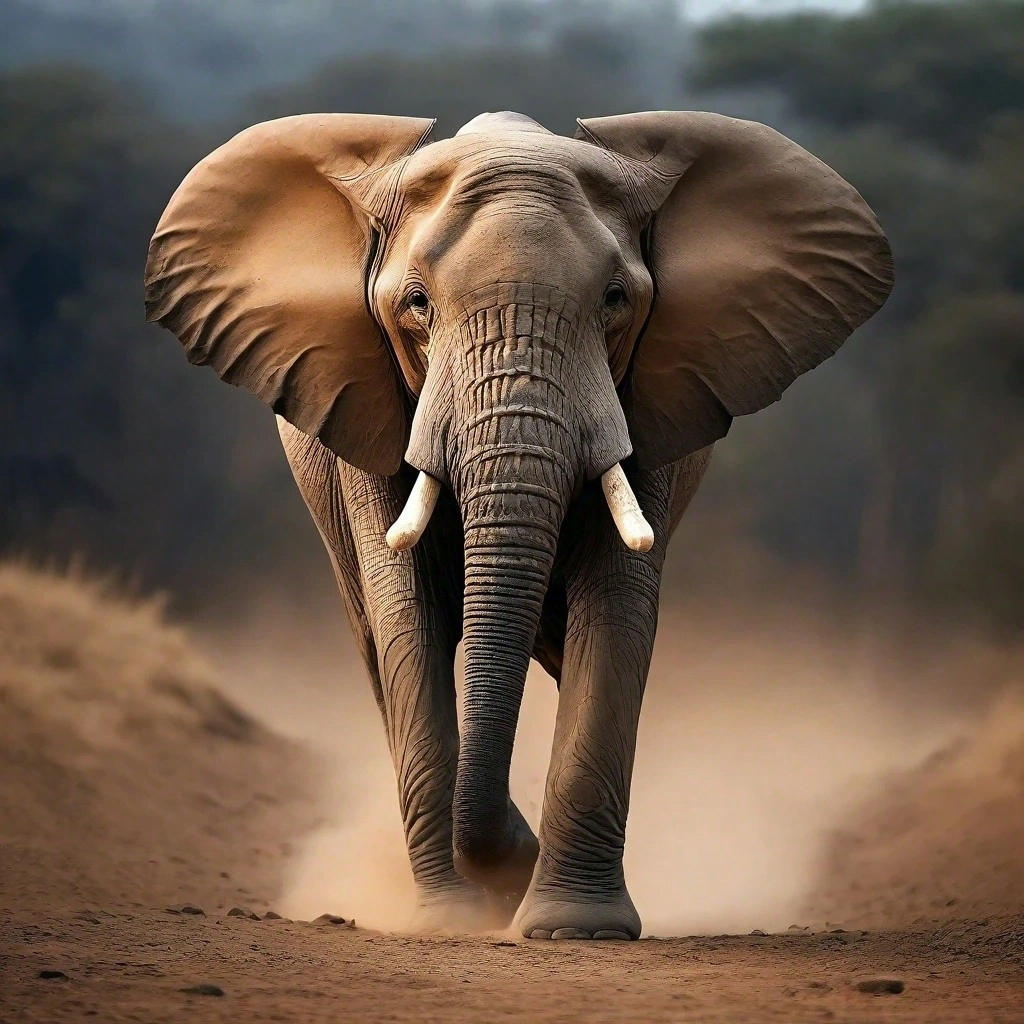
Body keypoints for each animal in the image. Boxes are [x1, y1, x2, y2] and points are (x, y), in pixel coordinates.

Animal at [145, 108, 893, 940]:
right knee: (384, 656)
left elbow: (615, 611)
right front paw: (452, 922)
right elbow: (410, 624)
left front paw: (573, 926)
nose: (505, 870)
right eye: (416, 305)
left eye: (615, 300)